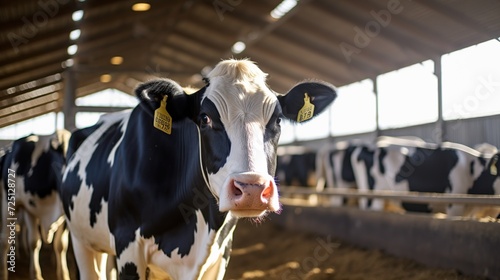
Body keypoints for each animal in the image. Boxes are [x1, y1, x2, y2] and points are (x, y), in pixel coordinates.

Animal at [60, 58, 338, 278]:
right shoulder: (127, 245)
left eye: (278, 120)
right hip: (81, 239)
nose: (252, 189)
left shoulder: (219, 255)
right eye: (205, 118)